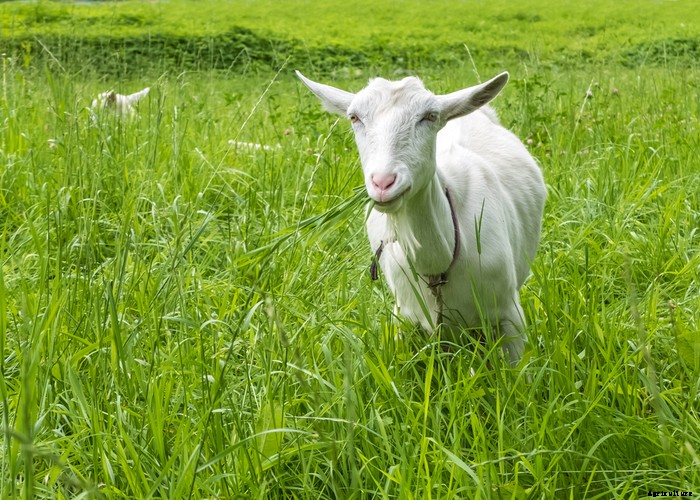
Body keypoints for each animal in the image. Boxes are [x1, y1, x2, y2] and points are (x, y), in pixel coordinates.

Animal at [297, 70, 546, 364]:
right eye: (354, 117)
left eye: (429, 116)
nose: (383, 182)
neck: (437, 265)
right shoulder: (404, 318)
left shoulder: (509, 316)